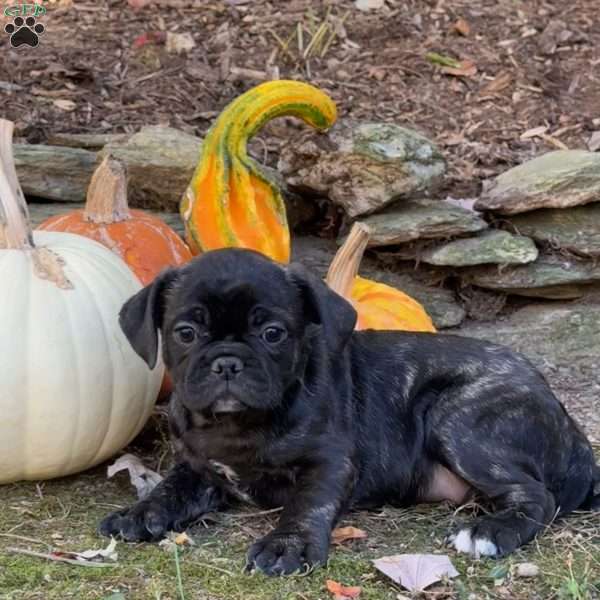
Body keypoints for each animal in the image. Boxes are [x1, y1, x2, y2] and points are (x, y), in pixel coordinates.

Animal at [99, 250, 600, 576]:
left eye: (273, 333)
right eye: (185, 332)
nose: (227, 362)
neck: (236, 425)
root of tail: (567, 425)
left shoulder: (330, 462)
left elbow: (308, 504)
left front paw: (288, 546)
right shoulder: (200, 466)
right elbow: (171, 487)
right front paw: (141, 512)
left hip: (458, 419)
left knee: (538, 496)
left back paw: (490, 532)